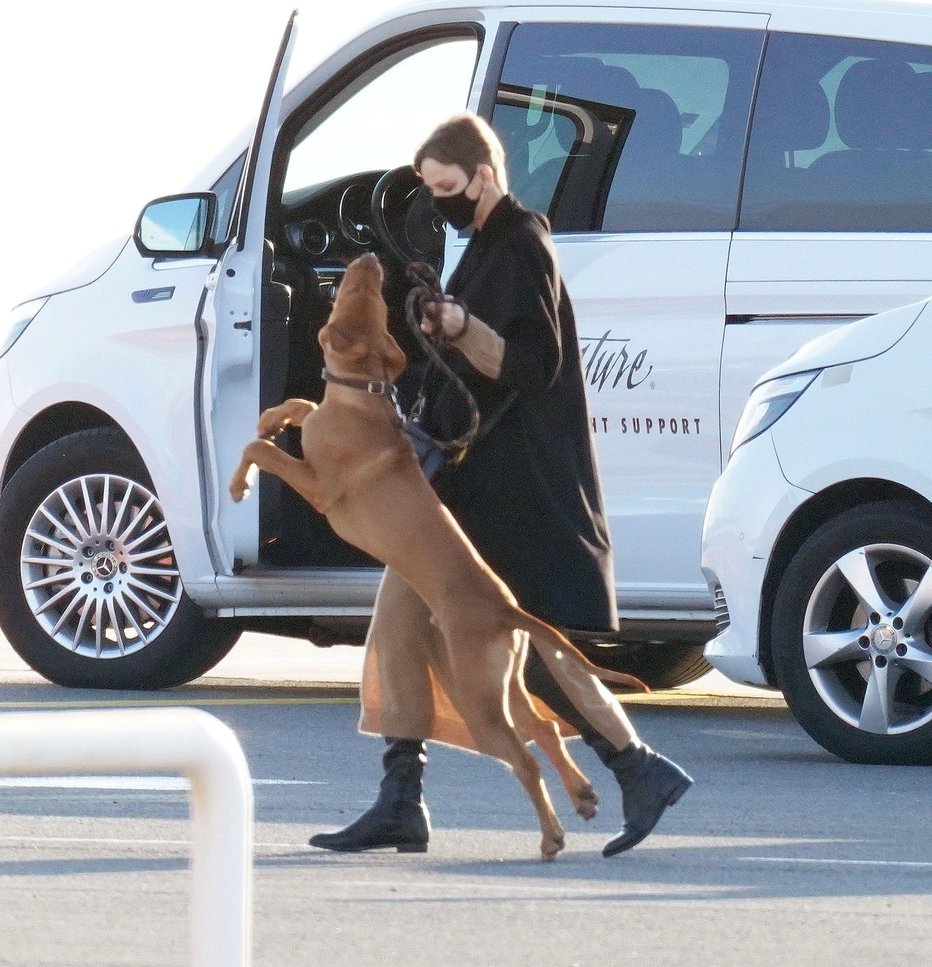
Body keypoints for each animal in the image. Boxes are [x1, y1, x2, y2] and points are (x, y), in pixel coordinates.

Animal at [231, 251, 648, 864]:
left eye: (357, 294)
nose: (370, 256)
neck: (363, 396)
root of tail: (506, 609)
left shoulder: (318, 486)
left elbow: (261, 447)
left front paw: (238, 482)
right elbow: (295, 407)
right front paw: (270, 418)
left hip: (477, 694)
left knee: (524, 759)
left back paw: (552, 836)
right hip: (503, 681)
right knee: (545, 731)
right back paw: (585, 798)